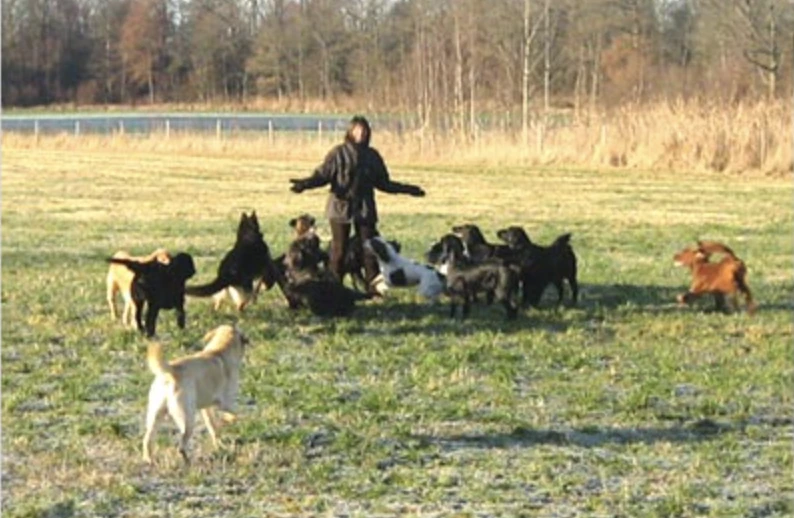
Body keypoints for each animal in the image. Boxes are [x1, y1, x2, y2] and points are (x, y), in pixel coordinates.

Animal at [142, 324, 248, 468]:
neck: (219, 350)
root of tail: (172, 372)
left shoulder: (207, 409)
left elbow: (212, 427)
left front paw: (218, 442)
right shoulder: (226, 403)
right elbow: (235, 414)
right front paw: (230, 420)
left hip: (155, 416)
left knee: (147, 439)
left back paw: (149, 460)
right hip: (187, 420)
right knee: (181, 446)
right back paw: (187, 461)